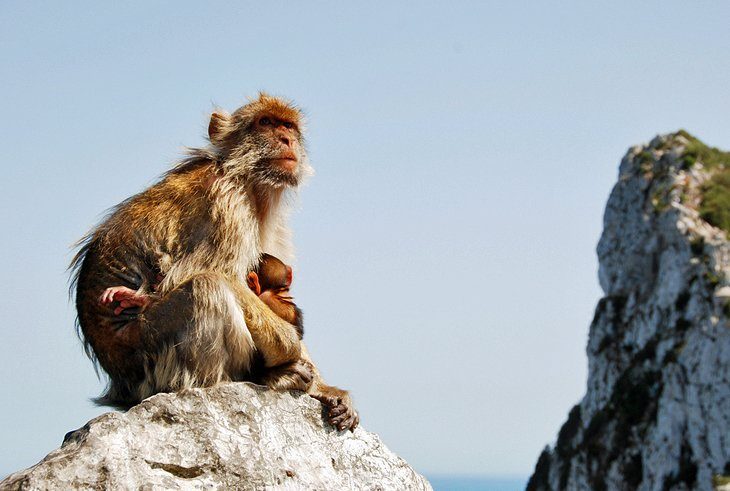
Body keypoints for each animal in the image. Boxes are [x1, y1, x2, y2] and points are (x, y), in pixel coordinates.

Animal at [71, 93, 359, 431]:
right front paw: (291, 346)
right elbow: (215, 273)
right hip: (150, 360)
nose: (286, 139)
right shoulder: (227, 201)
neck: (245, 177)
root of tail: (121, 391)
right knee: (207, 287)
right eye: (265, 123)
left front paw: (326, 389)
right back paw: (257, 378)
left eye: (288, 126)